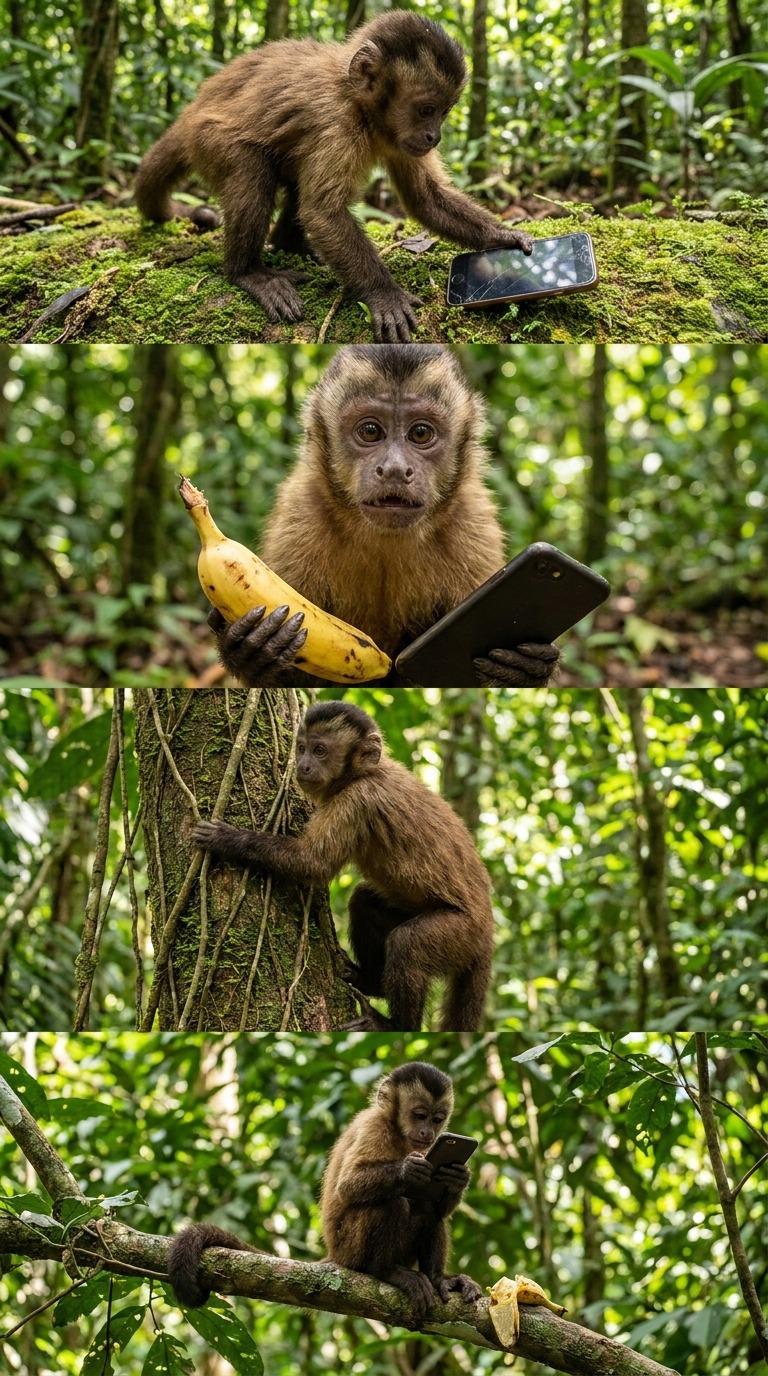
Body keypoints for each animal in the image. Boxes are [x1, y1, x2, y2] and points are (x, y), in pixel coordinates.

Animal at [134, 13, 532, 342]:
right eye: (426, 110)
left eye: (444, 113)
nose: (434, 136)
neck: (360, 104)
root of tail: (191, 112)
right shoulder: (336, 122)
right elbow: (323, 213)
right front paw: (383, 294)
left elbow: (426, 197)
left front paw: (505, 236)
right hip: (208, 140)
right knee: (253, 172)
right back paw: (247, 273)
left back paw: (289, 244)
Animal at [191, 701, 495, 1032]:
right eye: (302, 748)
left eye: (320, 750)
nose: (302, 765)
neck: (362, 774)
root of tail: (489, 935)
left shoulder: (356, 802)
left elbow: (312, 864)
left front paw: (229, 839)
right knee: (364, 900)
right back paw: (372, 982)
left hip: (464, 934)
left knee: (408, 944)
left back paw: (394, 1026)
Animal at [209, 345, 561, 690]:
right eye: (370, 431)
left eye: (420, 433)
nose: (394, 469)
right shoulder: (300, 514)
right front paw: (253, 649)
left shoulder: (473, 523)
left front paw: (526, 667)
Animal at [321, 1062, 483, 1323]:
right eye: (420, 1116)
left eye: (437, 1119)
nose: (428, 1133)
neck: (397, 1131)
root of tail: (334, 1255)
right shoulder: (374, 1127)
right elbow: (347, 1185)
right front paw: (408, 1169)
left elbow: (439, 1206)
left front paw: (459, 1177)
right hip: (348, 1250)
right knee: (391, 1202)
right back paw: (385, 1271)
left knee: (427, 1208)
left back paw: (438, 1279)